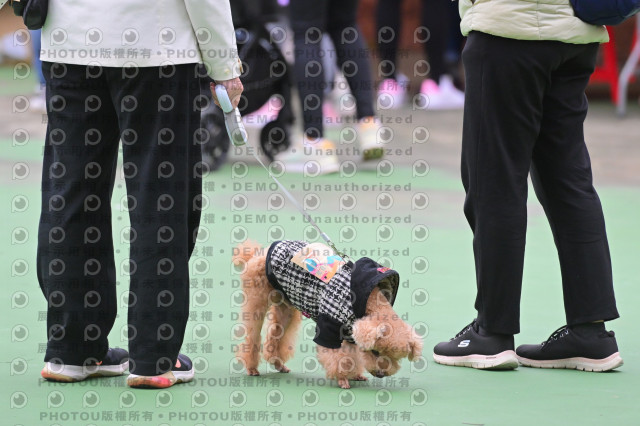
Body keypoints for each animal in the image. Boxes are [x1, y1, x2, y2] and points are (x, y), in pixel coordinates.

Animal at [232, 240, 423, 389]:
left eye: (394, 358)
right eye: (375, 352)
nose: (382, 374)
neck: (368, 301)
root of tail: (259, 253)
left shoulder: (351, 331)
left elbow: (353, 355)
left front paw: (356, 374)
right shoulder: (329, 326)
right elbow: (338, 357)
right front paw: (343, 379)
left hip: (286, 307)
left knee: (275, 338)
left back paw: (278, 364)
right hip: (256, 300)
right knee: (252, 335)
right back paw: (252, 368)